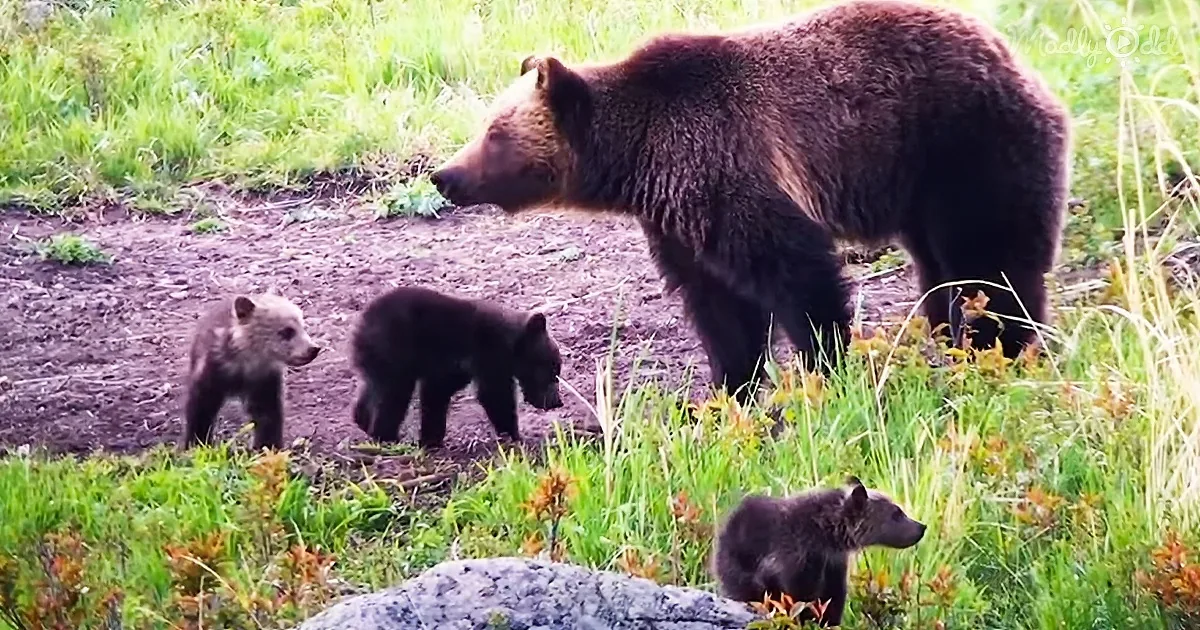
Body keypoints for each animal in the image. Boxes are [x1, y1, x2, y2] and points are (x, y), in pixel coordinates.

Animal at [181, 294, 322, 451]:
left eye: (303, 326)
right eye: (286, 331)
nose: (313, 349)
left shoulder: (264, 382)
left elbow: (268, 416)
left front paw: (268, 447)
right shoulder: (212, 375)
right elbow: (201, 411)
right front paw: (196, 444)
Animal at [350, 285, 564, 450]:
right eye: (551, 370)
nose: (557, 402)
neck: (511, 343)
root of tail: (362, 323)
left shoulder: (453, 369)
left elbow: (437, 394)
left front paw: (431, 440)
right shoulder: (488, 354)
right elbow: (494, 395)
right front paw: (514, 436)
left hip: (379, 361)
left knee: (373, 389)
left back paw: (363, 421)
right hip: (394, 351)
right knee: (393, 396)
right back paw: (387, 437)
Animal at [428, 0, 1071, 405]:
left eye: (494, 132)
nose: (444, 175)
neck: (641, 158)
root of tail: (1017, 59)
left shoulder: (729, 165)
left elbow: (797, 275)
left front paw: (825, 370)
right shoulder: (678, 220)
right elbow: (720, 307)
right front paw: (727, 390)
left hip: (967, 148)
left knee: (992, 260)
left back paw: (1000, 347)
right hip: (919, 182)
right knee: (943, 269)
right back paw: (949, 334)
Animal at [712, 476, 927, 627]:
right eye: (896, 513)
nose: (921, 526)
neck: (827, 534)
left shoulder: (833, 563)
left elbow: (833, 597)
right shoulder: (797, 557)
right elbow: (799, 596)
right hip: (738, 561)